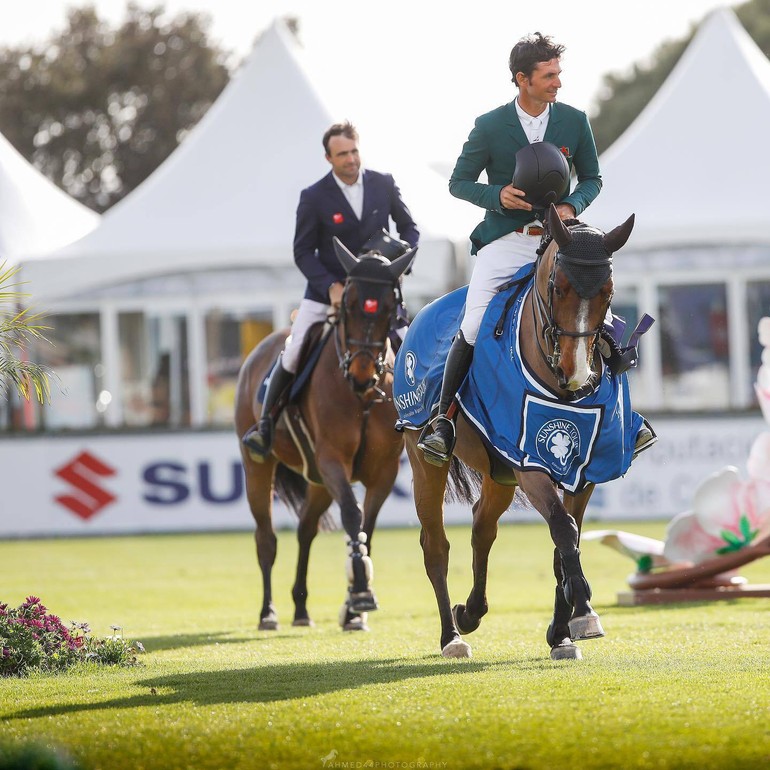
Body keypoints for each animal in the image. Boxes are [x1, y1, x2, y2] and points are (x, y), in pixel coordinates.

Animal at [234, 236, 414, 632]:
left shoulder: (383, 471)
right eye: (348, 304)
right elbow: (352, 515)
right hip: (259, 468)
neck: (363, 397)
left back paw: (301, 608)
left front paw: (355, 609)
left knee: (305, 530)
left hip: (316, 479)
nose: (362, 374)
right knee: (266, 538)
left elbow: (367, 528)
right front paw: (360, 589)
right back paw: (268, 613)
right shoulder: (333, 460)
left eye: (390, 308)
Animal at [396, 206, 640, 660]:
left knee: (482, 528)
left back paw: (470, 613)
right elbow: (564, 528)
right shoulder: (531, 464)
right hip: (426, 459)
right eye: (557, 287)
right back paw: (451, 636)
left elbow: (566, 540)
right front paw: (582, 607)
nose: (576, 371)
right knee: (435, 545)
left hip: (499, 473)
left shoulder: (586, 471)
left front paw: (565, 629)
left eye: (609, 292)